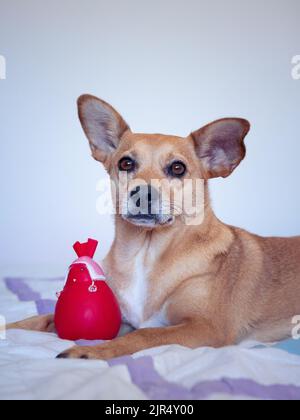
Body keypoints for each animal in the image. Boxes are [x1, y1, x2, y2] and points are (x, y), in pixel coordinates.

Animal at [8, 96, 300, 360]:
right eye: (126, 163)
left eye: (178, 168)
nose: (143, 193)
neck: (146, 253)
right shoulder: (122, 317)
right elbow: (40, 319)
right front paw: (9, 327)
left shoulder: (206, 328)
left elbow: (145, 334)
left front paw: (91, 351)